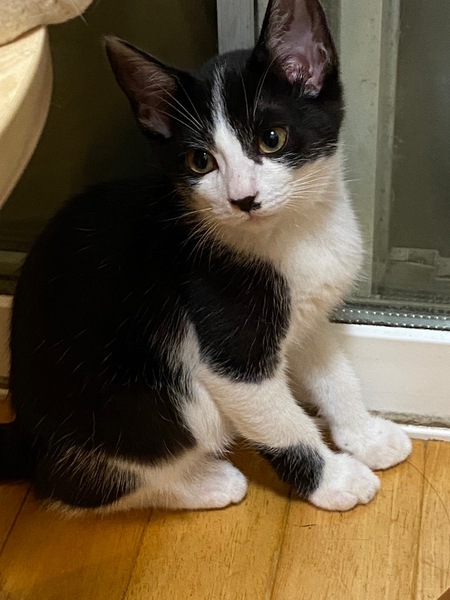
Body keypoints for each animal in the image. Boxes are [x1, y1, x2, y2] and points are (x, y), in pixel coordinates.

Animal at [0, 0, 411, 513]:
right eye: (200, 162)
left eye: (272, 138)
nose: (243, 199)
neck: (295, 233)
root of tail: (28, 431)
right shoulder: (227, 344)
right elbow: (281, 422)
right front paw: (333, 478)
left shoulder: (307, 312)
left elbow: (333, 374)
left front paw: (366, 435)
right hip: (147, 404)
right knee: (77, 484)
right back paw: (205, 481)